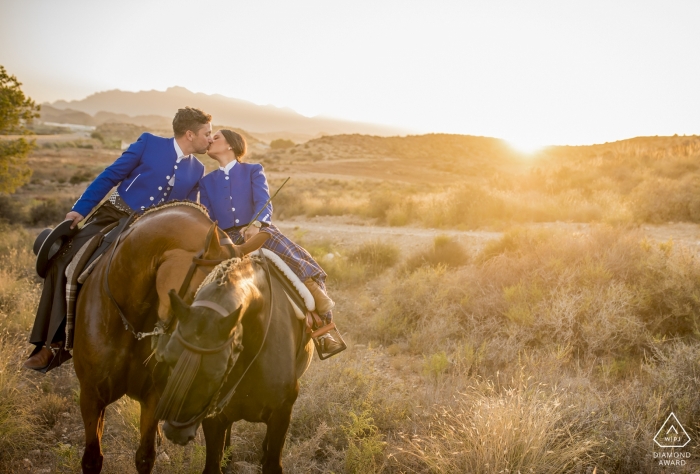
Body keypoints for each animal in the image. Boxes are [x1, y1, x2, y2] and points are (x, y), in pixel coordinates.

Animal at [73, 202, 238, 472]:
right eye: (199, 294)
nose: (218, 368)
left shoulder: (152, 396)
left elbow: (145, 456)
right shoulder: (90, 396)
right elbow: (92, 458)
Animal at [160, 254, 314, 472]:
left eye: (217, 372)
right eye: (168, 359)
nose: (175, 432)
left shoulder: (281, 414)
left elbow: (272, 463)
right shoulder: (213, 418)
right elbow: (213, 465)